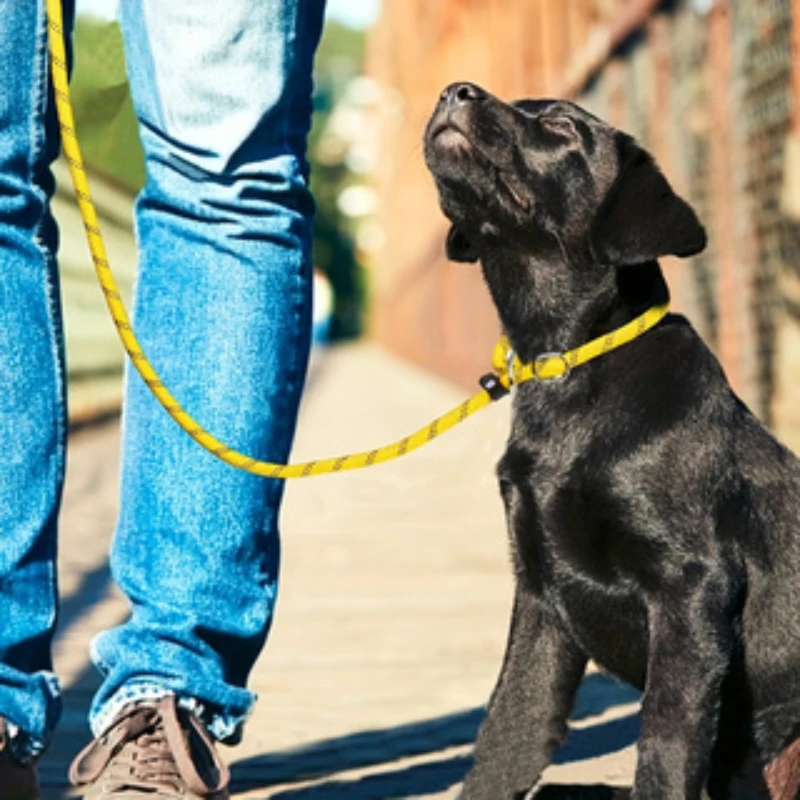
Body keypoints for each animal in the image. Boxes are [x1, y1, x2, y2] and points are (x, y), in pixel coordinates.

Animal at [422, 83, 796, 800]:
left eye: (563, 125)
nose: (456, 91)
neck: (566, 364)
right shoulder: (542, 598)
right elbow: (506, 736)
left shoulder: (691, 588)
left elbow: (666, 745)